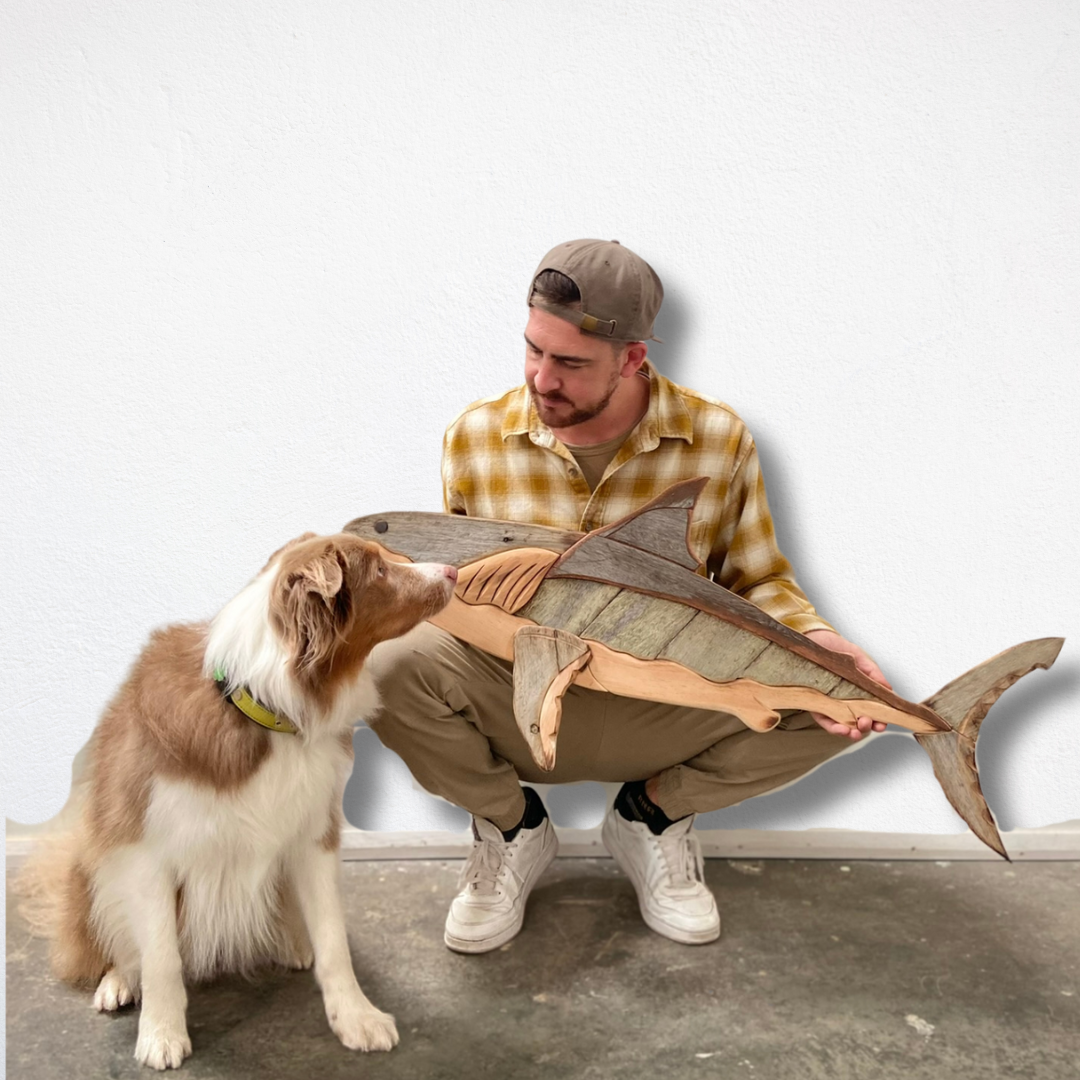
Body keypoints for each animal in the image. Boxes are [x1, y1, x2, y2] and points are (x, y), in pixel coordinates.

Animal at [15, 527, 455, 1067]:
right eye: (378, 570)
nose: (453, 572)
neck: (263, 706)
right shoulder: (147, 852)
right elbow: (161, 956)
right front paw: (161, 1034)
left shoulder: (314, 835)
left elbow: (334, 941)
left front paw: (356, 1017)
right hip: (92, 863)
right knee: (117, 942)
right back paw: (119, 980)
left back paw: (292, 942)